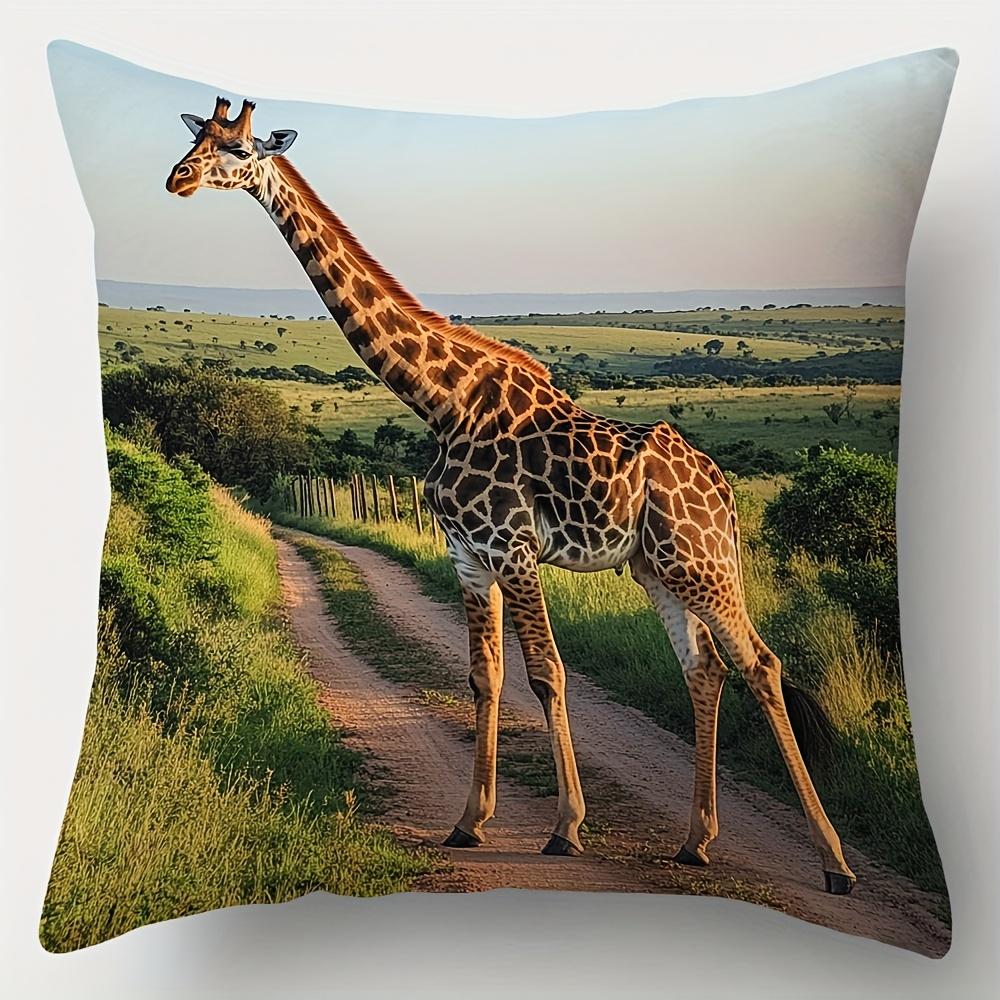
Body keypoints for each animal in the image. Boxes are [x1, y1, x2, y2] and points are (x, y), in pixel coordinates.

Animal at [166, 98, 856, 895]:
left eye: (240, 149)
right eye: (196, 137)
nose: (177, 179)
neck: (440, 400)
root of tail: (725, 491)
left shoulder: (515, 549)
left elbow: (547, 674)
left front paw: (566, 828)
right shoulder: (468, 555)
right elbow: (484, 676)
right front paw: (469, 821)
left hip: (702, 564)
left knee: (761, 666)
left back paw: (835, 863)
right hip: (656, 568)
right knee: (705, 670)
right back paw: (696, 842)